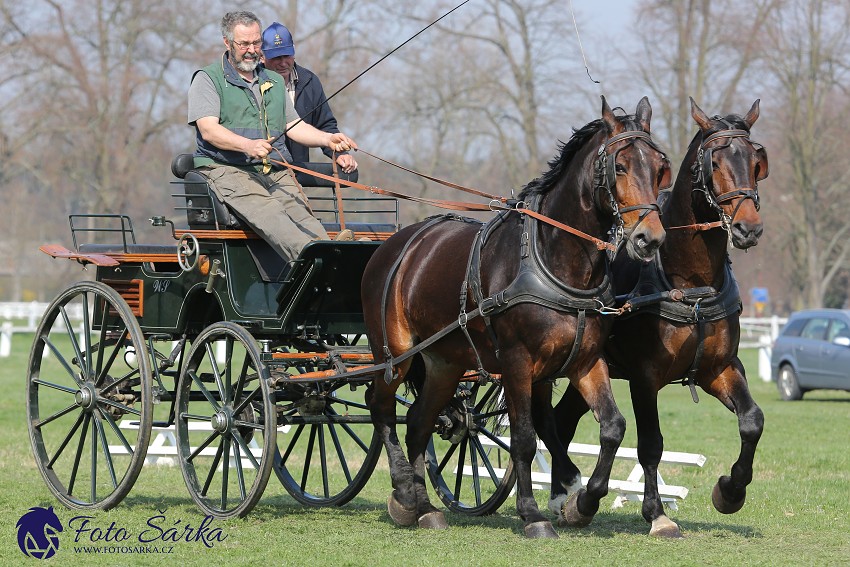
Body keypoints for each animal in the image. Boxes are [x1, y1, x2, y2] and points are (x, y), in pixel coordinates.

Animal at [362, 96, 672, 536]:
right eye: (621, 166)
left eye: (660, 168)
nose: (650, 238)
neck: (554, 260)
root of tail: (392, 245)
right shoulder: (516, 362)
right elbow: (524, 436)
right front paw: (532, 514)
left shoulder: (585, 361)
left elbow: (613, 427)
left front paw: (584, 501)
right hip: (395, 355)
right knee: (381, 408)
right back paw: (405, 490)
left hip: (444, 362)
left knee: (420, 421)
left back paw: (424, 507)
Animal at [548, 97, 768, 536]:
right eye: (715, 162)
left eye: (756, 162)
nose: (749, 229)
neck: (690, 281)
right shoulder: (644, 376)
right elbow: (651, 444)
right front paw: (657, 514)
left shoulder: (719, 367)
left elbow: (752, 420)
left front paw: (730, 491)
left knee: (560, 424)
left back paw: (562, 495)